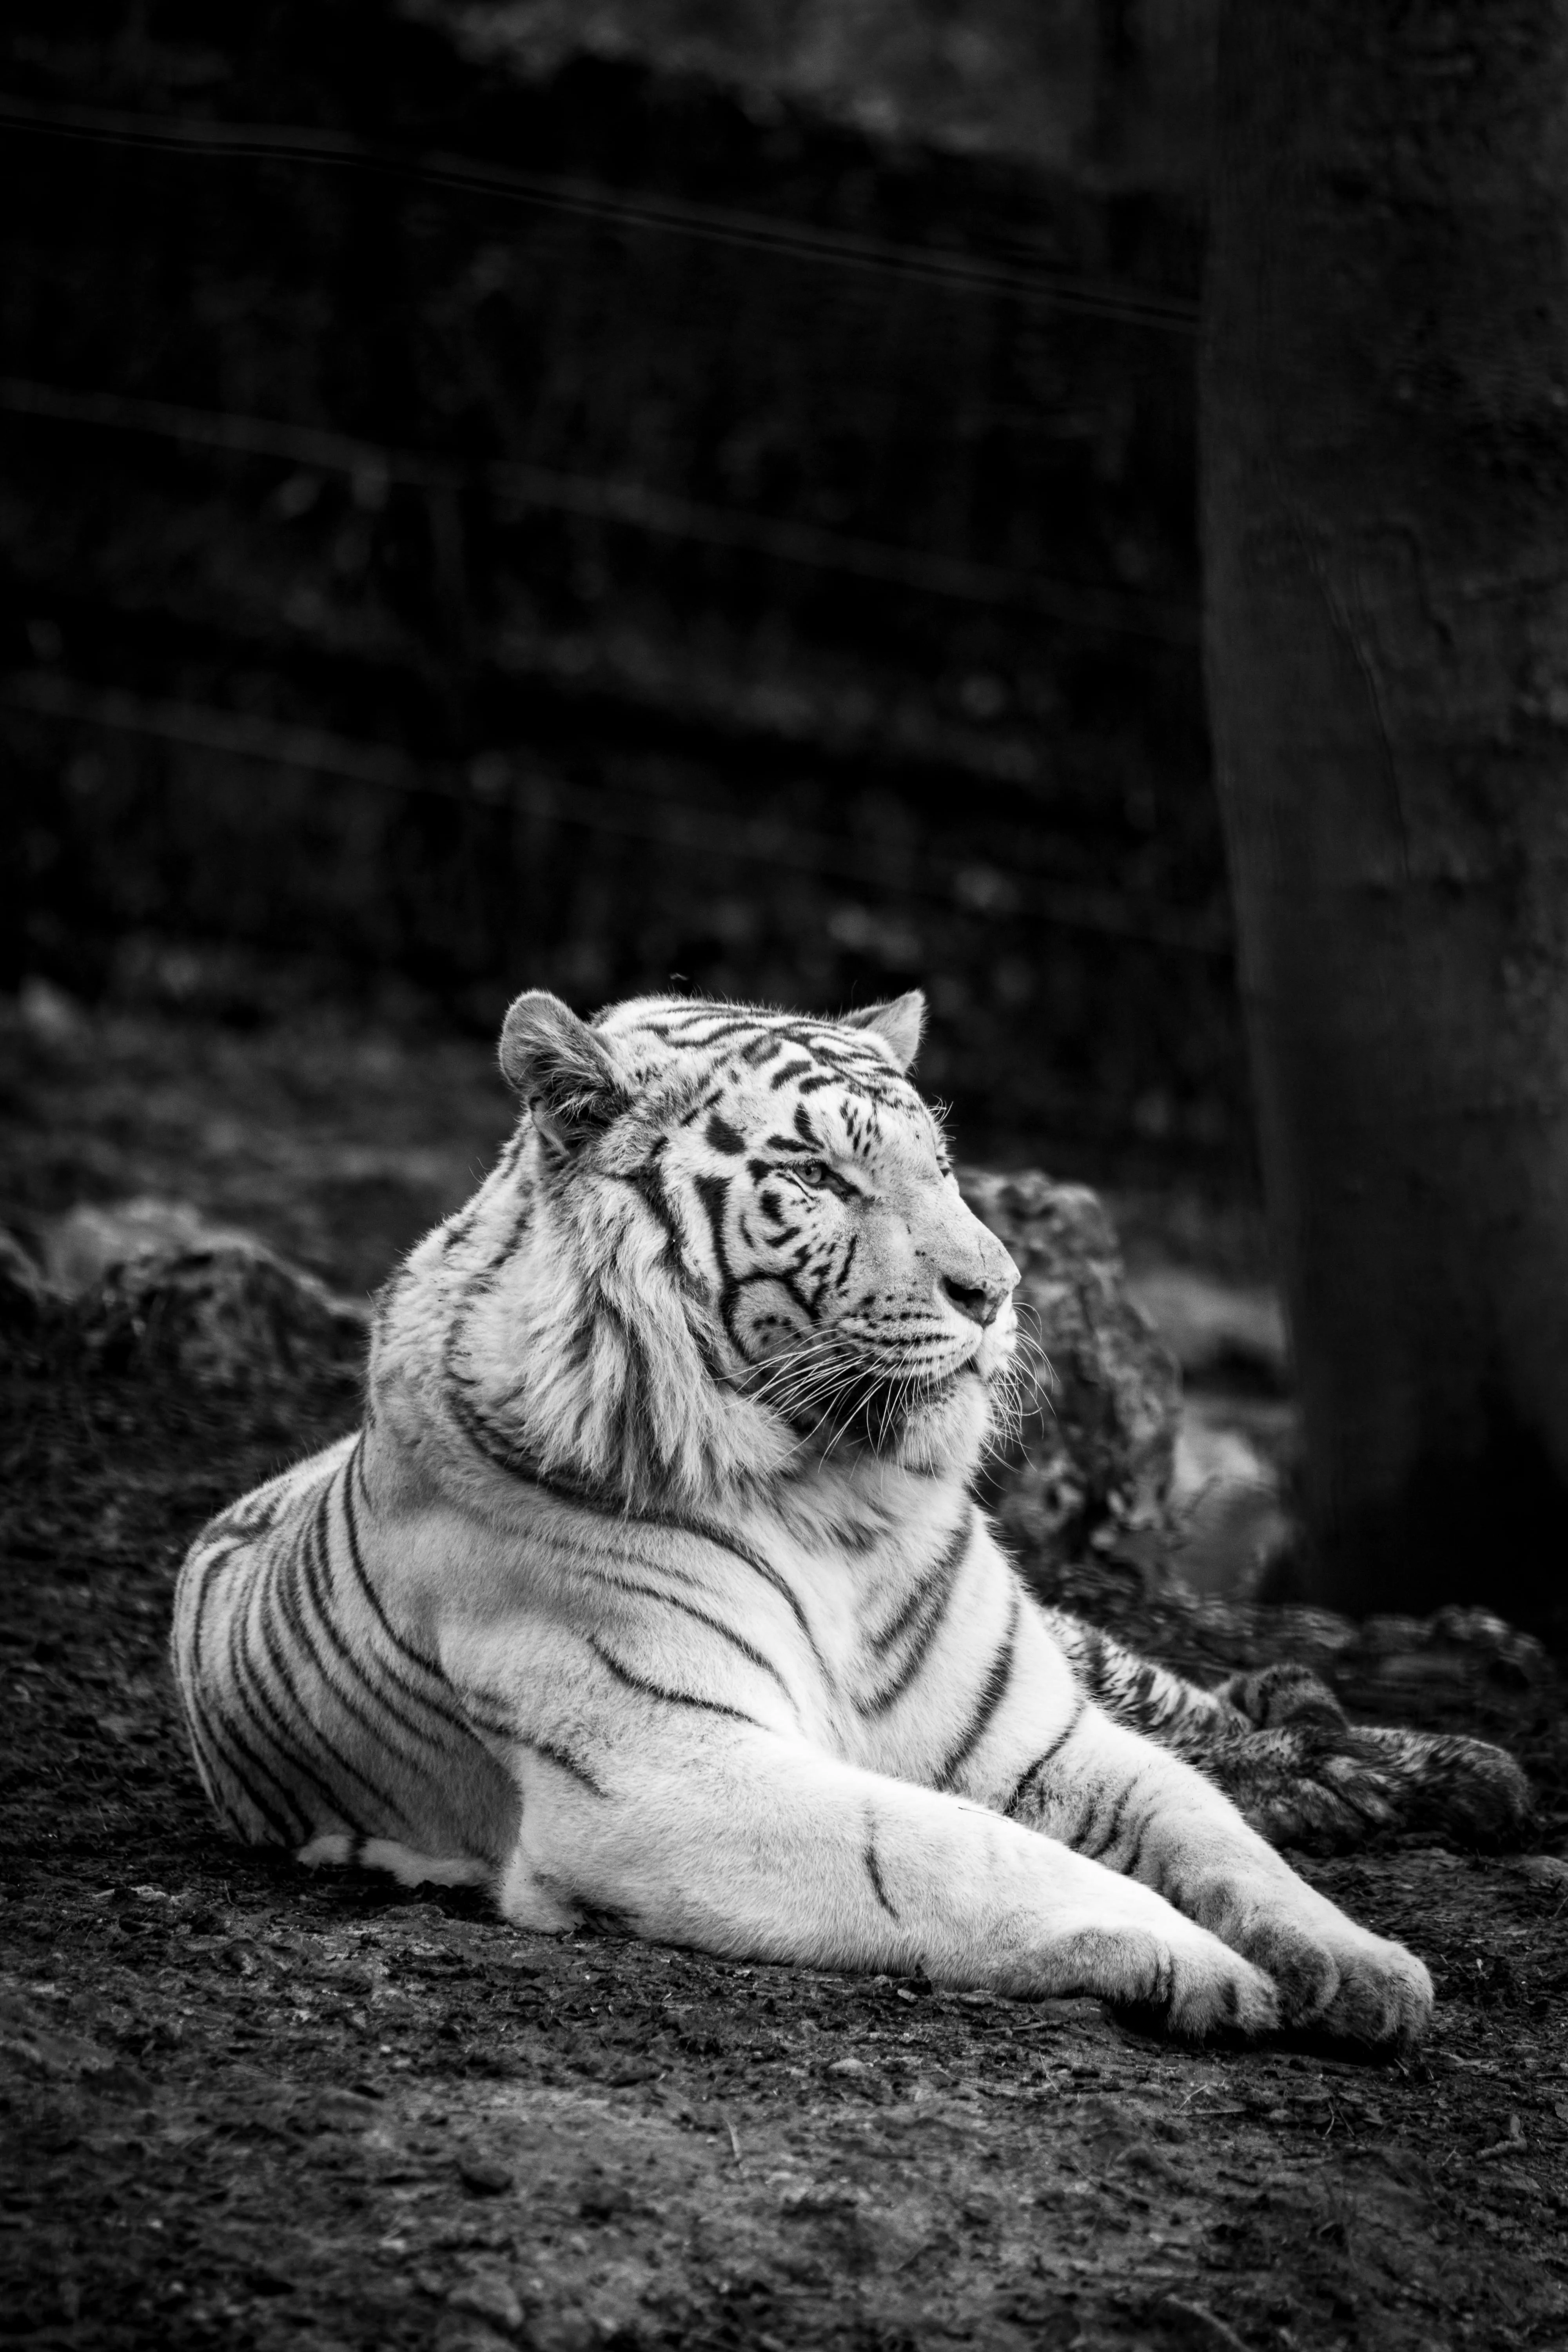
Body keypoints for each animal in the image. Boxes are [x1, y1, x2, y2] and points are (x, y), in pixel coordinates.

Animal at [170, 985, 1520, 2047]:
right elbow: (961, 1848)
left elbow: (1211, 1826)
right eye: (818, 1177)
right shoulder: (668, 1772)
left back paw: (1431, 1768)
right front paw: (1205, 1965)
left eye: (944, 1170)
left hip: (1074, 1652)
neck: (839, 1498)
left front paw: (1359, 1960)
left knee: (1215, 1712)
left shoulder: (1038, 1734)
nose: (998, 1289)